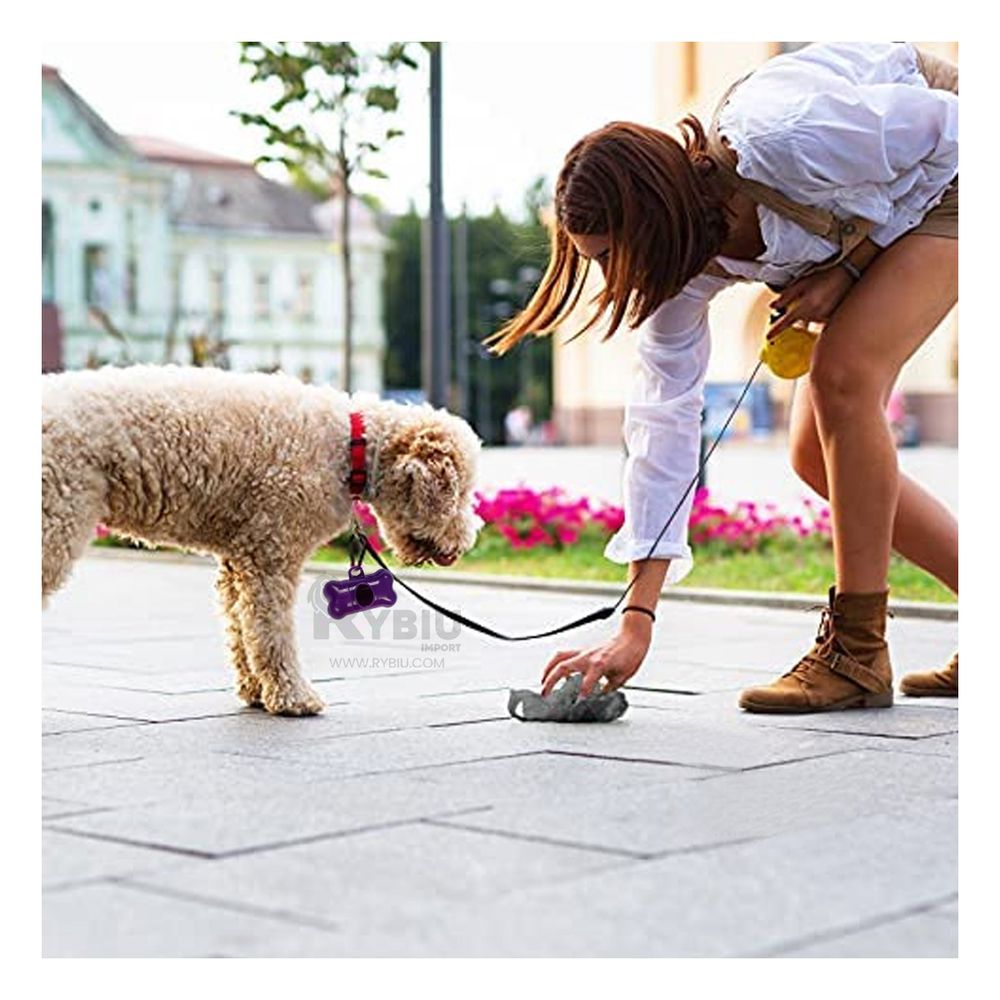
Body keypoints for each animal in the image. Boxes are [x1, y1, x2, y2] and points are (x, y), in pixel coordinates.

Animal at [41, 364, 486, 716]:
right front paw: (293, 698)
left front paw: (256, 691)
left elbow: (241, 630)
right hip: (56, 520)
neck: (351, 448)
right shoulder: (273, 552)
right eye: (460, 493)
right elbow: (271, 632)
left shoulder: (238, 558)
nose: (464, 545)